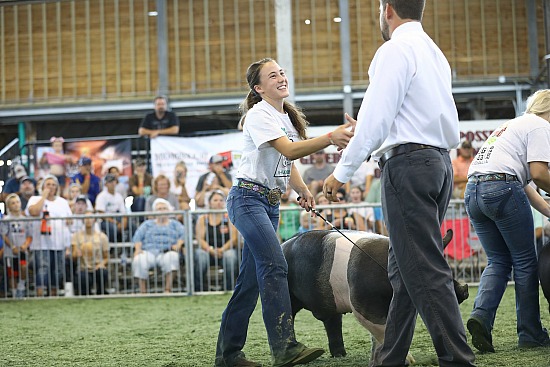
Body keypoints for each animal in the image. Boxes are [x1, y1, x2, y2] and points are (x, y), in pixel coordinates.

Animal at [284, 230, 470, 362]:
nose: (465, 289)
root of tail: (284, 244)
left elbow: (378, 336)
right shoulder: (362, 304)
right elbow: (381, 330)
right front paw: (409, 361)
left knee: (333, 323)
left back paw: (340, 355)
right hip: (290, 296)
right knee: (289, 317)